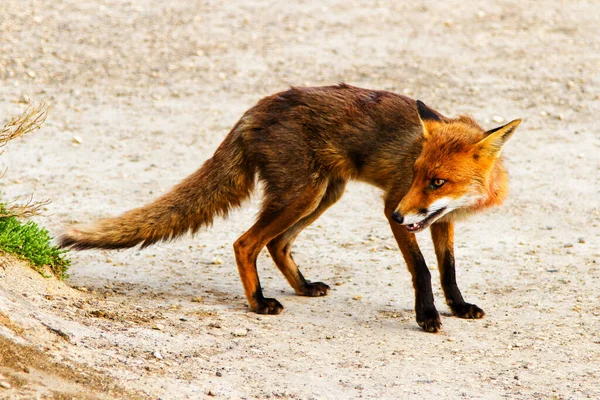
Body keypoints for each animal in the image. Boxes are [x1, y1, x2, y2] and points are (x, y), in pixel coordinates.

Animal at [61, 83, 520, 332]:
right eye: (415, 173)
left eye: (436, 181)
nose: (396, 217)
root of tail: (258, 106)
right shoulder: (395, 203)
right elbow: (422, 270)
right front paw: (427, 316)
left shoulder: (439, 219)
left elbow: (447, 269)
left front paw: (458, 307)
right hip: (303, 194)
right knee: (245, 243)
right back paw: (258, 302)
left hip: (322, 195)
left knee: (277, 245)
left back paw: (301, 287)